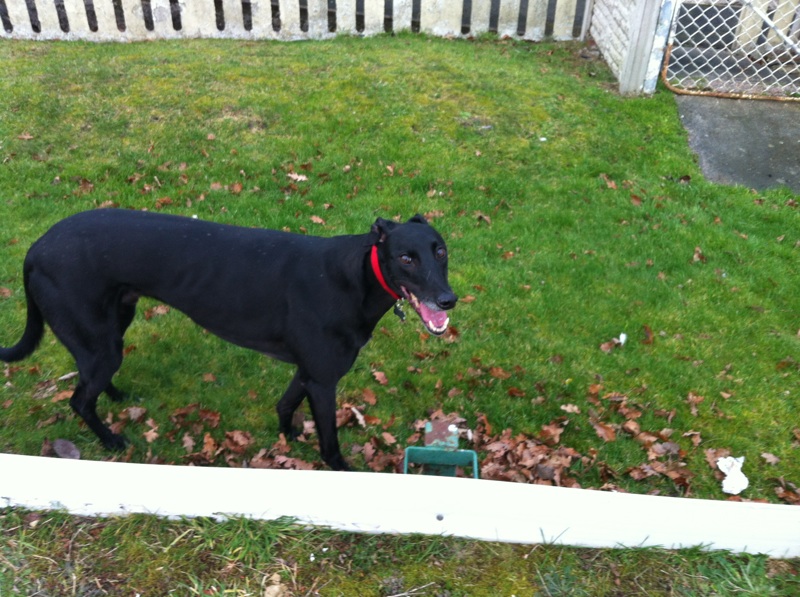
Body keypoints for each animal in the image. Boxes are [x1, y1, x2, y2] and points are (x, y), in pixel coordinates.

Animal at [0, 210, 456, 470]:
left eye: (441, 251)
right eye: (406, 257)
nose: (448, 299)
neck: (355, 276)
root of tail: (35, 249)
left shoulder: (309, 370)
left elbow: (286, 402)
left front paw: (288, 435)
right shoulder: (325, 379)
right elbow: (330, 442)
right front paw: (342, 471)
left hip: (111, 327)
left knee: (91, 378)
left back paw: (115, 396)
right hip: (97, 336)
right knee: (79, 399)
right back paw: (111, 439)